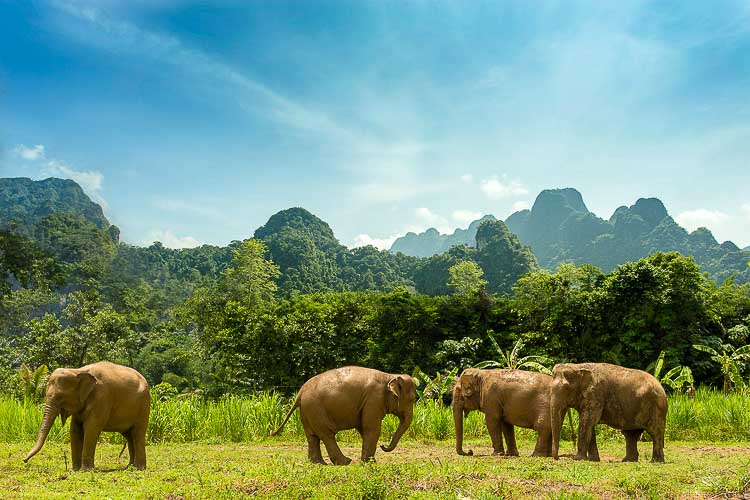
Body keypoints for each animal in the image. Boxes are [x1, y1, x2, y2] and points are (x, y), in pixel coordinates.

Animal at [271, 366, 417, 465]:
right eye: (413, 399)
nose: (383, 446)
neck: (389, 376)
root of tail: (300, 392)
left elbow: (364, 428)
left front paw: (369, 461)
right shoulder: (373, 400)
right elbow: (372, 429)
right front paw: (369, 463)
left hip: (307, 412)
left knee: (312, 436)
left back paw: (319, 463)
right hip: (315, 409)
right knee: (327, 435)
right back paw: (345, 461)